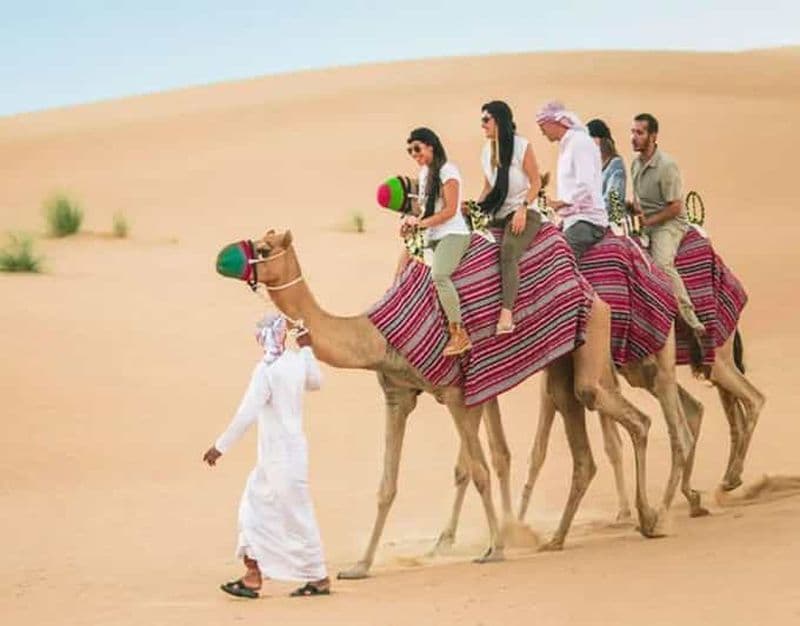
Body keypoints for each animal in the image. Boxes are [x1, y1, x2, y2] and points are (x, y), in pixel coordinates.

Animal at [215, 229, 666, 579]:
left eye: (265, 248)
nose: (223, 260)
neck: (376, 335)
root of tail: (583, 280)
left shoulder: (455, 394)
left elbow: (479, 470)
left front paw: (495, 549)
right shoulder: (397, 396)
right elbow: (387, 484)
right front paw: (360, 566)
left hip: (593, 334)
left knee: (627, 415)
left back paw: (649, 518)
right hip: (561, 360)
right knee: (582, 433)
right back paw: (559, 538)